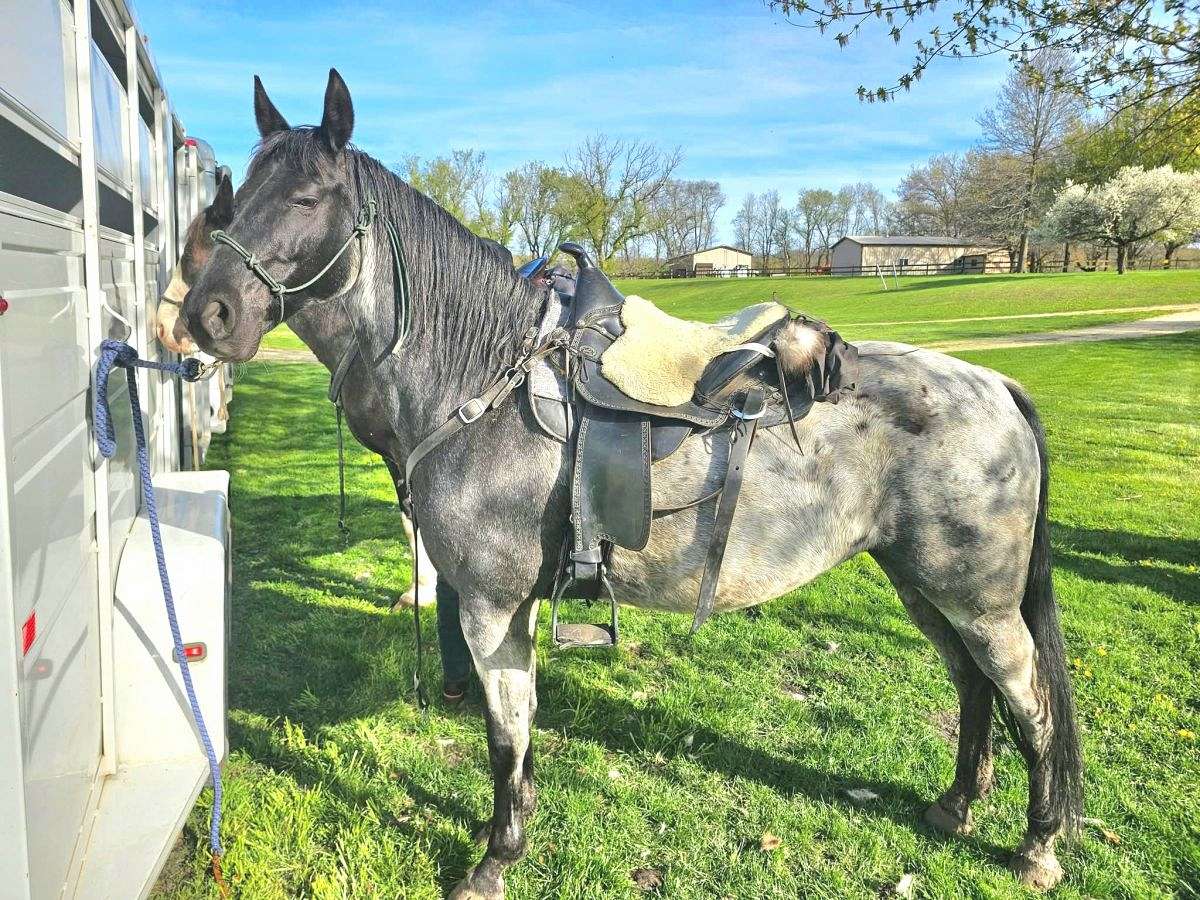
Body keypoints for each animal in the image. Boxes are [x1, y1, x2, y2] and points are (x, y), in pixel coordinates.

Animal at [180, 69, 1082, 896]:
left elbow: (503, 737)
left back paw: (1037, 846)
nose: (205, 315)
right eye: (233, 203)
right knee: (973, 689)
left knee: (1029, 702)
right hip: (924, 587)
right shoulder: (509, 608)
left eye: (306, 197)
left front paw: (495, 857)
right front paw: (518, 822)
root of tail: (994, 385)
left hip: (979, 601)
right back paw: (956, 804)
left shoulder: (488, 606)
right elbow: (523, 728)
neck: (479, 383)